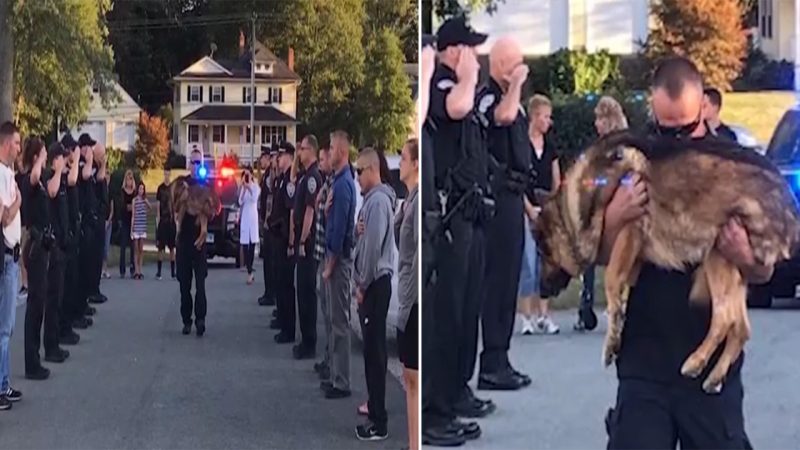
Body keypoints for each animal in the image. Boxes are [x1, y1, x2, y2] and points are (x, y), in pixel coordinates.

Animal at [536, 132, 800, 392]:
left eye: (543, 253)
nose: (541, 290)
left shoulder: (630, 228)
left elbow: (611, 280)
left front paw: (611, 338)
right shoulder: (632, 256)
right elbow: (621, 290)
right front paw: (616, 330)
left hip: (718, 251)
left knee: (725, 319)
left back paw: (695, 361)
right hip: (733, 264)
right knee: (741, 328)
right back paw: (715, 376)